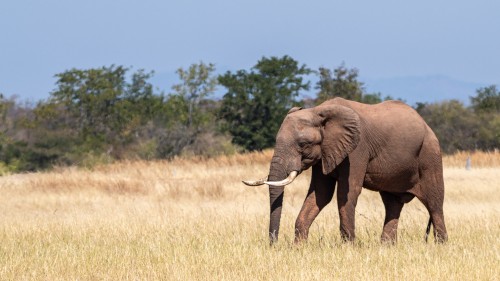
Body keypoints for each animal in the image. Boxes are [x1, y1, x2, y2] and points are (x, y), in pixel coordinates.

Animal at [244, 97, 448, 244]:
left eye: (303, 144)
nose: (274, 245)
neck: (319, 111)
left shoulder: (357, 149)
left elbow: (347, 192)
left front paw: (348, 247)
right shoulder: (324, 153)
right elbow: (320, 194)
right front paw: (298, 248)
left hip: (430, 154)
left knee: (434, 203)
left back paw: (440, 246)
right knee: (392, 203)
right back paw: (386, 246)